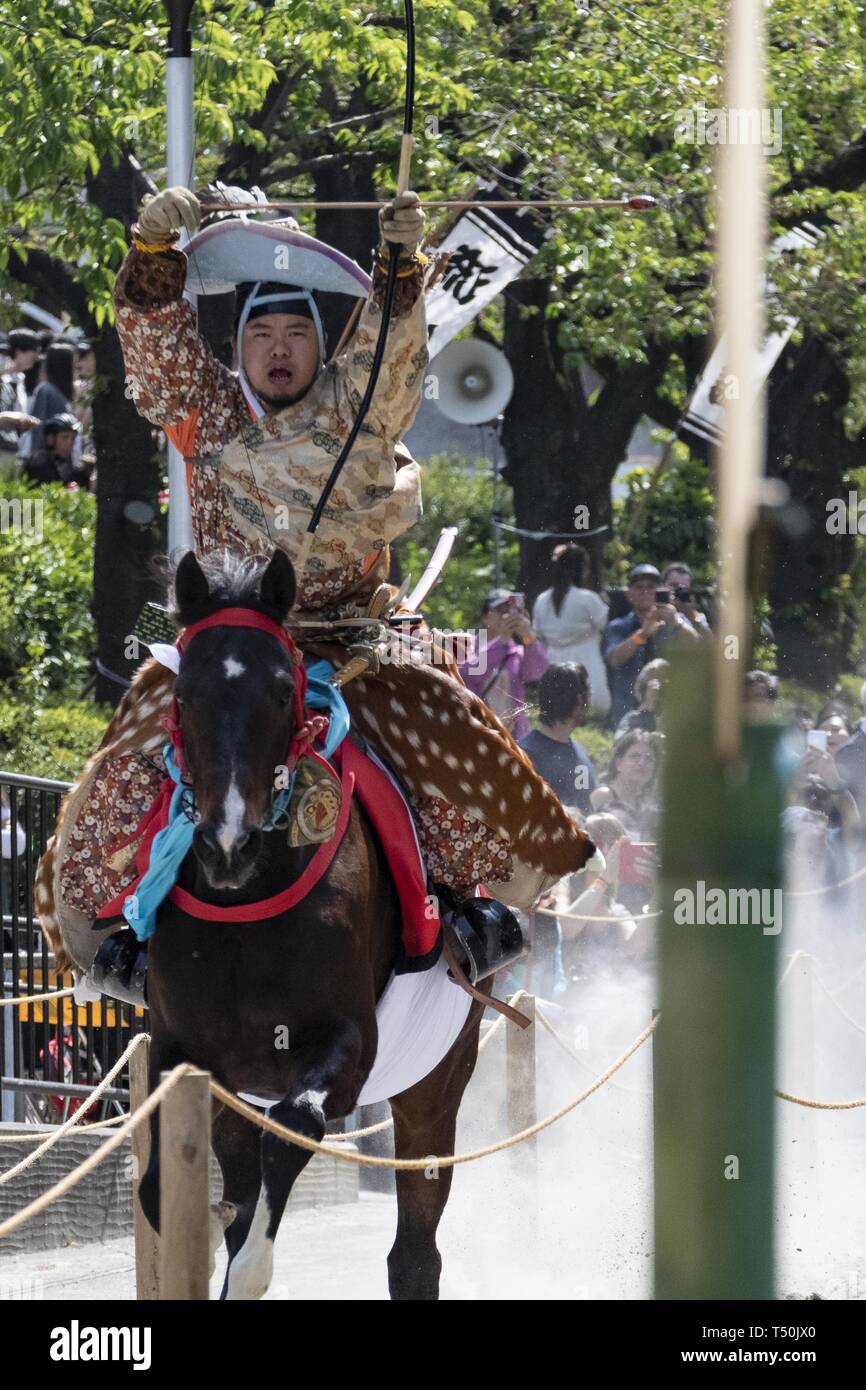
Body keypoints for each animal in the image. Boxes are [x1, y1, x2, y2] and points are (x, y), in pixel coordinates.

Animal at [136, 544, 489, 1301]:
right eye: (185, 696)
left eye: (280, 691)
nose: (227, 843)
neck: (244, 905)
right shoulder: (179, 1046)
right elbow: (161, 1186)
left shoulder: (348, 1045)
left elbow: (295, 1126)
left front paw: (250, 1271)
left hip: (436, 1086)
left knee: (415, 1249)